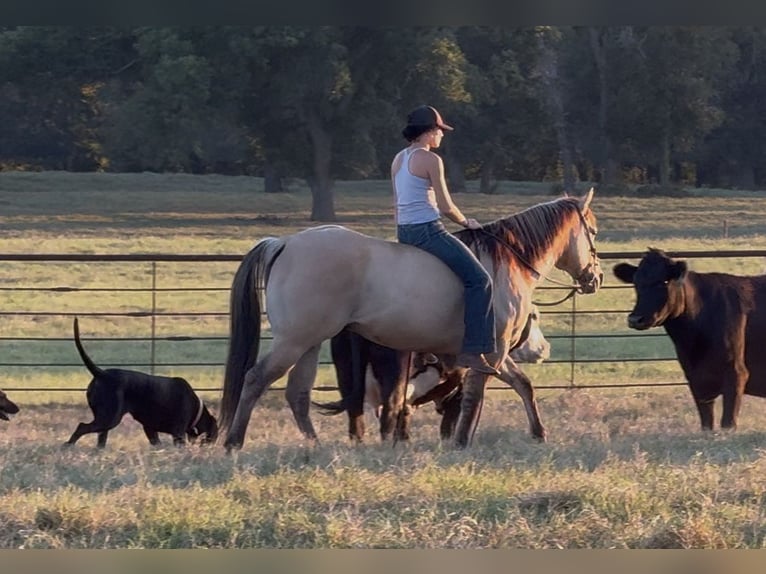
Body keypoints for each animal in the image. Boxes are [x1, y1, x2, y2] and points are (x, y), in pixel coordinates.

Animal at [219, 189, 602, 450]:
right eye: (594, 232)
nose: (595, 277)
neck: (505, 261)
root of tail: (284, 243)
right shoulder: (491, 352)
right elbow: (474, 397)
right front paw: (461, 441)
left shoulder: (496, 354)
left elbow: (523, 384)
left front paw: (539, 433)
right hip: (294, 342)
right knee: (255, 379)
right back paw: (234, 442)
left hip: (309, 343)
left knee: (297, 394)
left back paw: (315, 446)